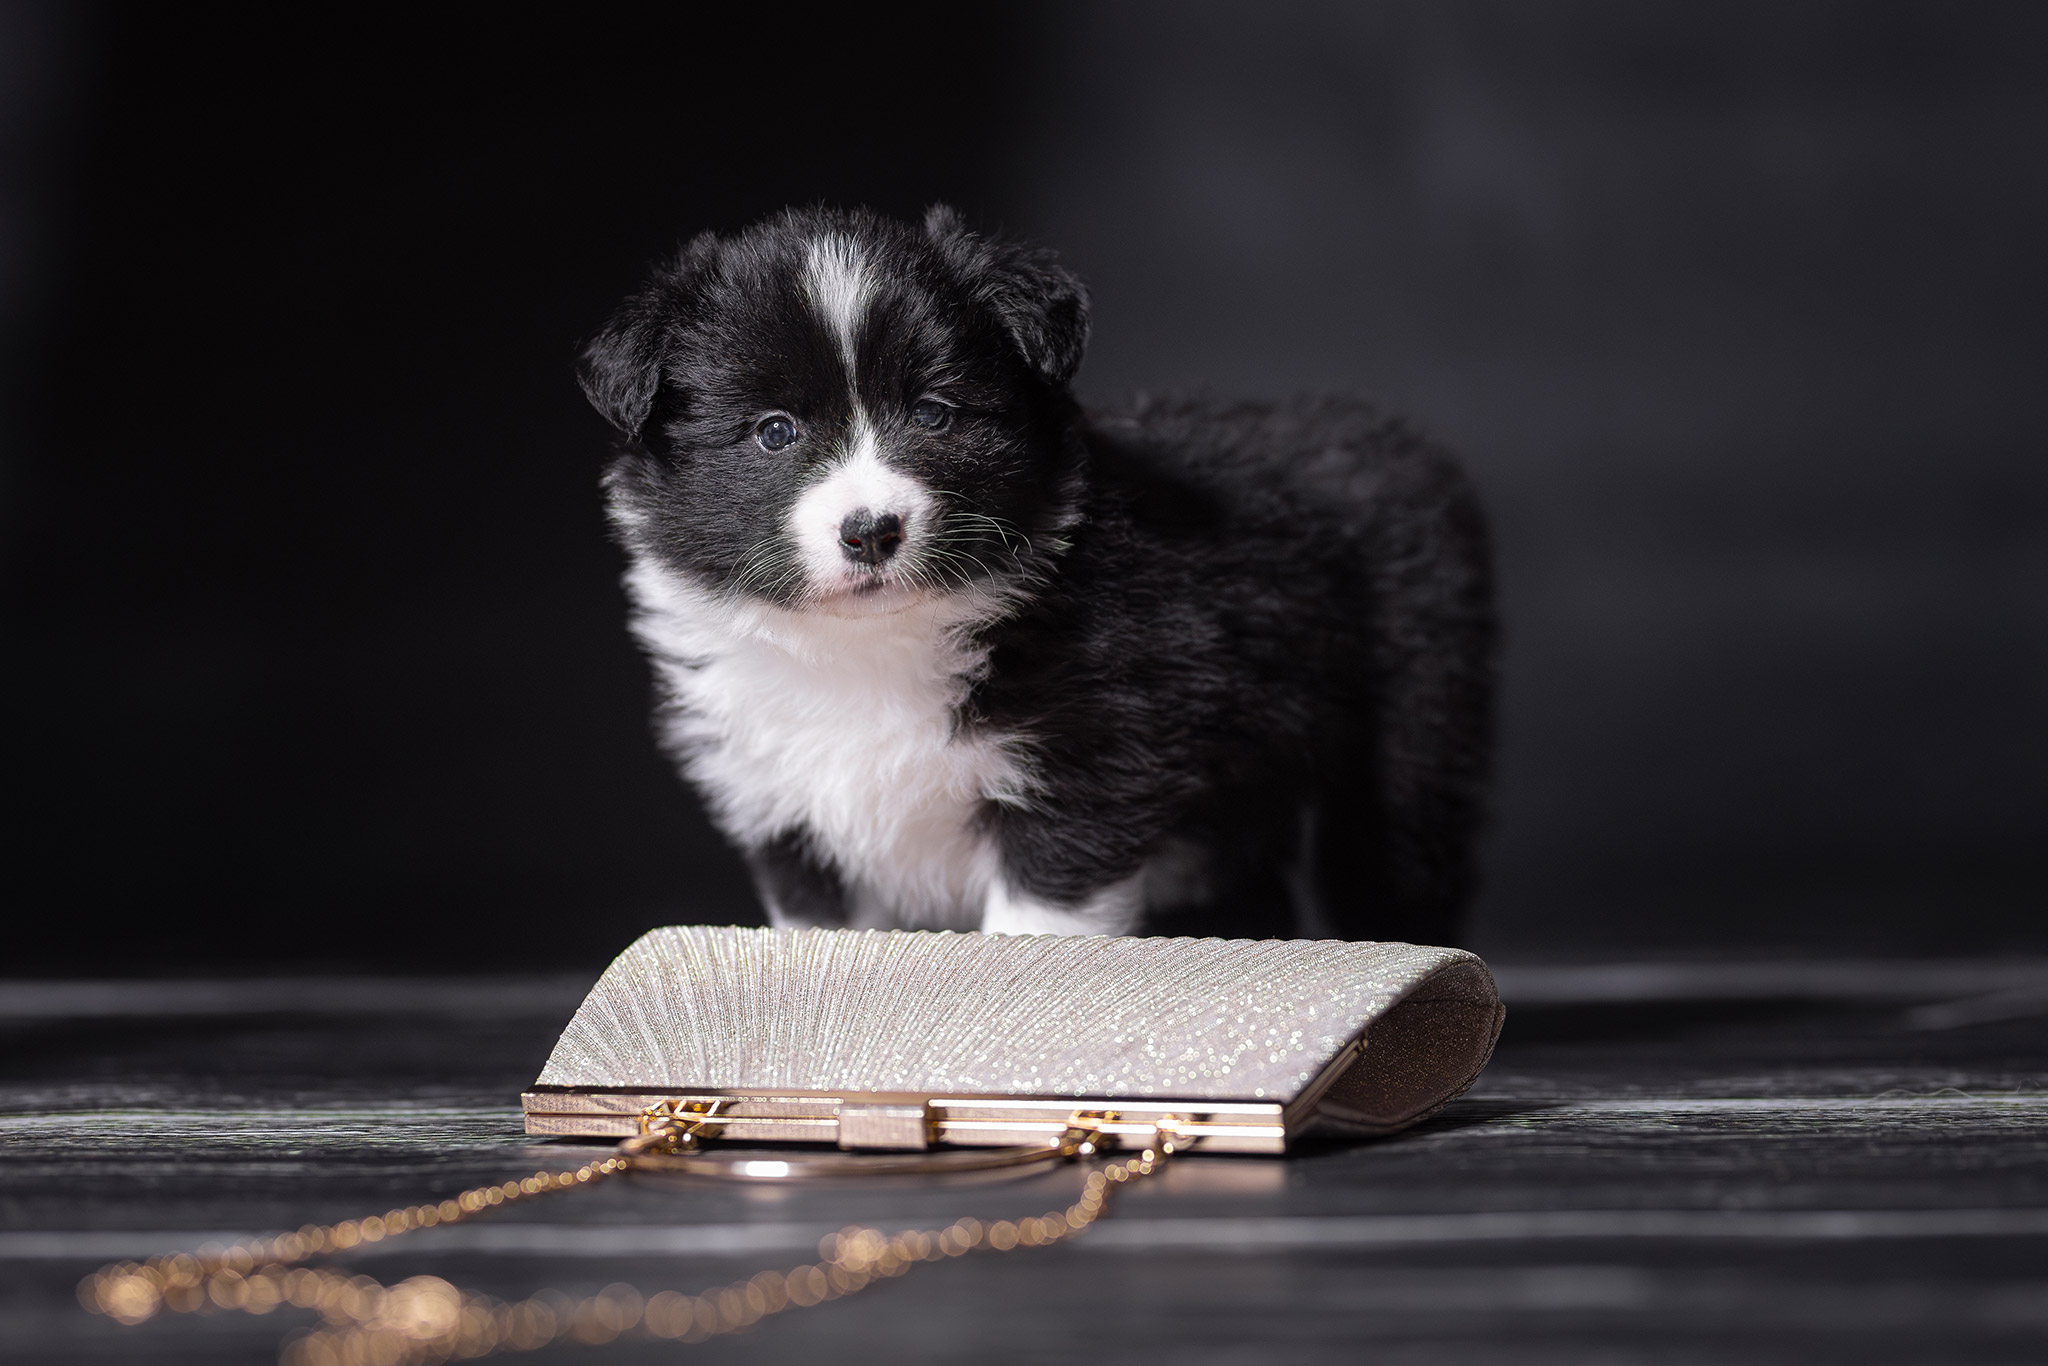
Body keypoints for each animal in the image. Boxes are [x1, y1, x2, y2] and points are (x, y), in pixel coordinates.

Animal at [585, 208, 1499, 946]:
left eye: (935, 413)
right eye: (774, 431)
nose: (871, 531)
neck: (878, 646)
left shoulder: (1088, 762)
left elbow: (1037, 925)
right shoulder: (786, 807)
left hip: (1414, 723)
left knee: (1399, 859)